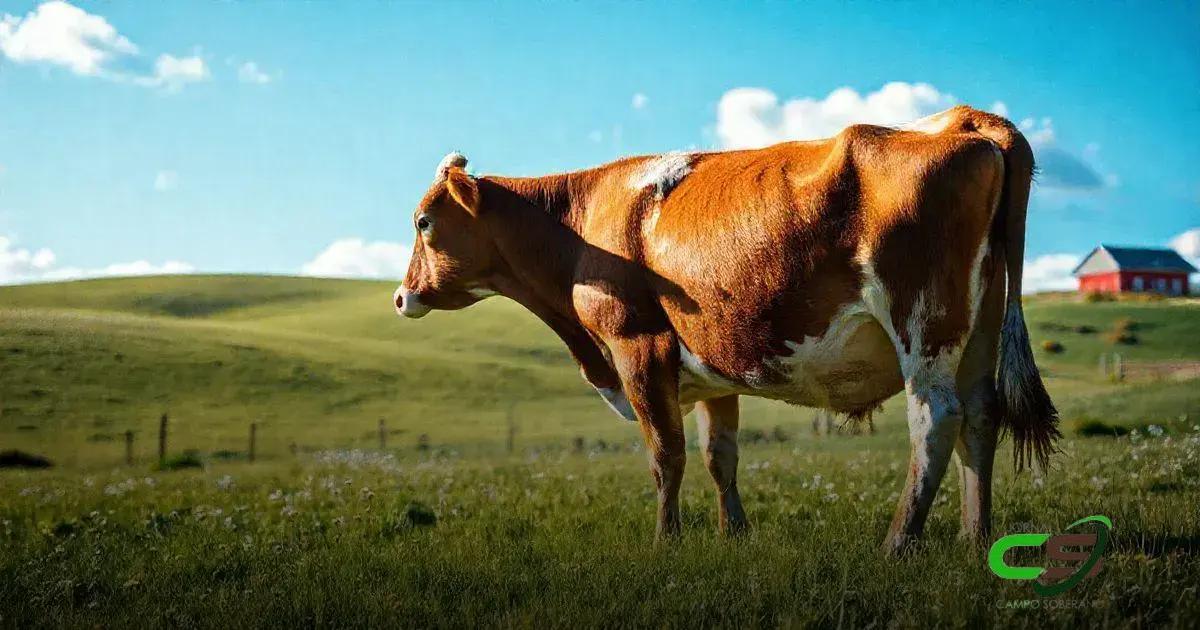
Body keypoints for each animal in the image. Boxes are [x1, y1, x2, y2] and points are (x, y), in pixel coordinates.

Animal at [394, 105, 1059, 554]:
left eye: (424, 221)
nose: (401, 297)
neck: (580, 228)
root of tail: (969, 119)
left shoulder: (638, 348)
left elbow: (666, 456)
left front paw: (665, 543)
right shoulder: (715, 371)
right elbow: (721, 456)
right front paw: (732, 535)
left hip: (922, 322)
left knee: (936, 419)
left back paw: (898, 543)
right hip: (980, 328)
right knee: (981, 416)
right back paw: (976, 537)